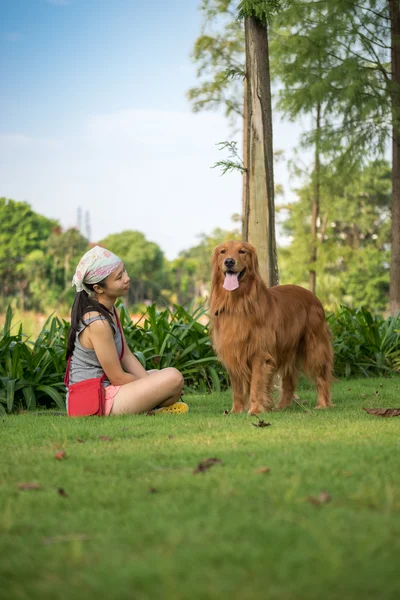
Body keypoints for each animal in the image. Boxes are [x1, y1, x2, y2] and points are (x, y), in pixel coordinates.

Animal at [209, 239, 334, 412]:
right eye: (223, 251)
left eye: (242, 251)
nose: (229, 262)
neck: (237, 303)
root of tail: (312, 294)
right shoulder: (232, 351)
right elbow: (237, 388)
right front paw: (237, 410)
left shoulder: (259, 353)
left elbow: (256, 384)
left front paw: (255, 410)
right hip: (288, 349)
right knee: (288, 383)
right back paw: (281, 407)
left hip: (315, 348)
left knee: (321, 377)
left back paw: (322, 404)